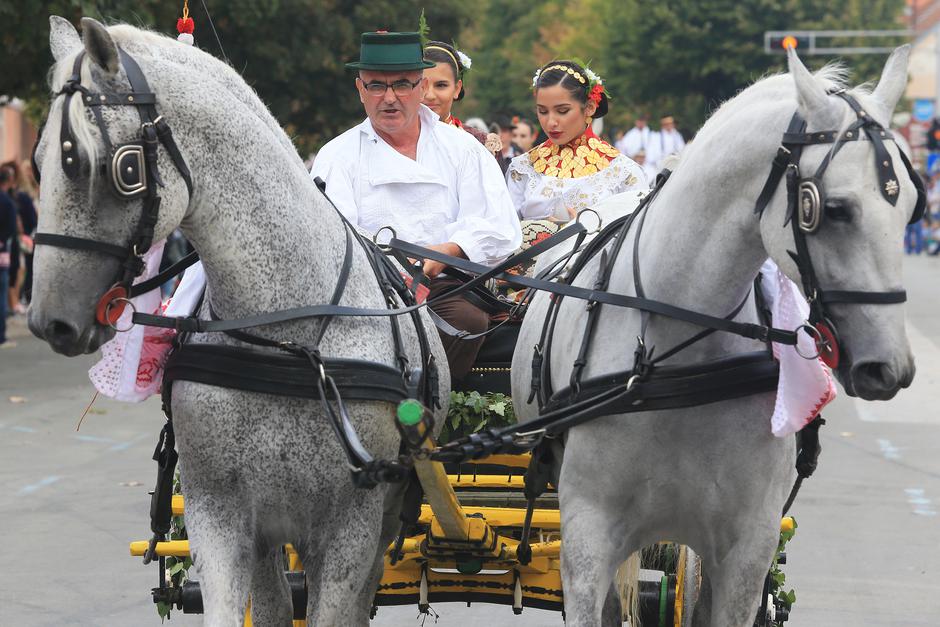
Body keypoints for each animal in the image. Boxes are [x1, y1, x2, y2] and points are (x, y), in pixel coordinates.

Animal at [29, 17, 448, 624]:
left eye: (122, 169)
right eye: (37, 163)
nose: (49, 321)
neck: (287, 340)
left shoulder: (350, 528)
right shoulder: (223, 517)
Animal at [510, 46, 916, 624]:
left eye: (912, 208)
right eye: (833, 209)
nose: (889, 368)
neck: (674, 356)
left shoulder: (746, 547)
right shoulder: (587, 535)